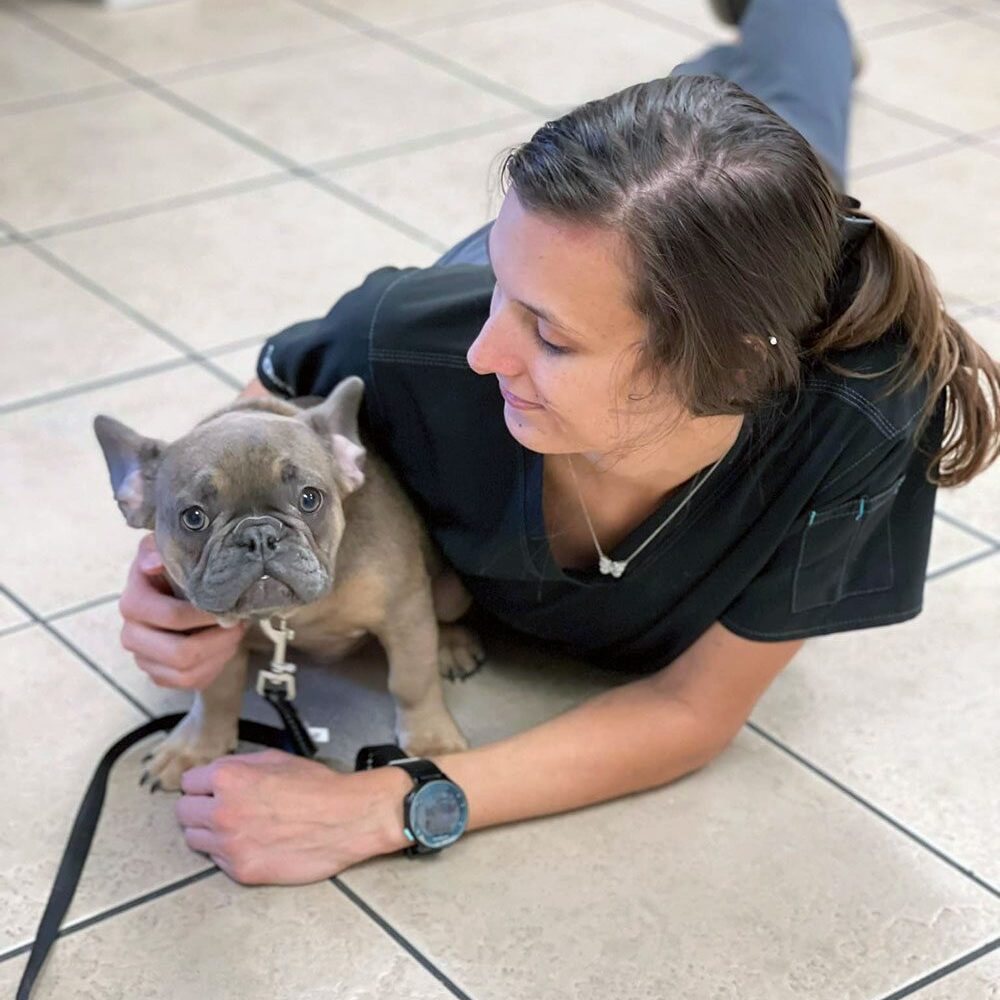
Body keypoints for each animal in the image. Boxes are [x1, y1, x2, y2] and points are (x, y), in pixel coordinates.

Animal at [94, 376, 480, 788]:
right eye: (193, 517)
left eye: (310, 498)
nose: (259, 534)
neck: (286, 614)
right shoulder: (208, 637)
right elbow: (216, 691)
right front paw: (196, 747)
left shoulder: (404, 609)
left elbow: (412, 679)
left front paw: (432, 742)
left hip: (450, 594)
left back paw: (451, 646)